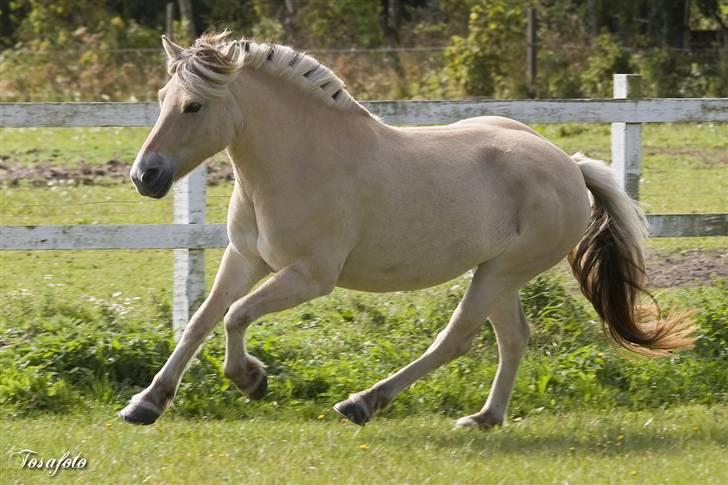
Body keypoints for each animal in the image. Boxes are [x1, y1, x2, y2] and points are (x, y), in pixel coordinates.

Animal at [119, 32, 692, 428]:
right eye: (162, 97)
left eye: (193, 104)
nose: (145, 176)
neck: (302, 161)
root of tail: (569, 165)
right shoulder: (245, 258)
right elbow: (200, 322)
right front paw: (145, 404)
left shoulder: (309, 277)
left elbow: (236, 316)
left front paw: (251, 379)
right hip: (496, 273)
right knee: (512, 339)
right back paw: (483, 418)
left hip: (502, 273)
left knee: (457, 338)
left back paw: (363, 403)